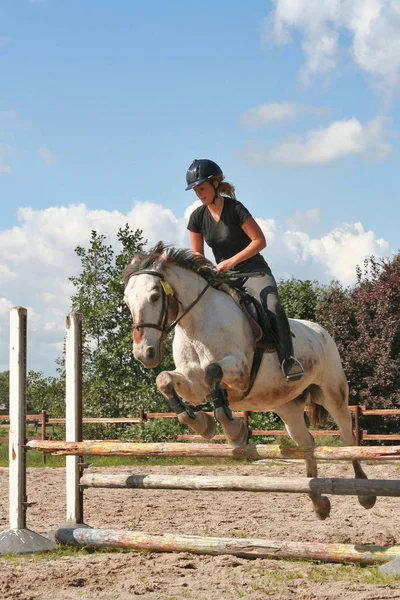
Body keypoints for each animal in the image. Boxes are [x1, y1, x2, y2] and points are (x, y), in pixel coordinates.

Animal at [123, 241, 376, 516]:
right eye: (127, 301)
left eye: (154, 296)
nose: (144, 354)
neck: (196, 325)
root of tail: (321, 331)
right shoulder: (194, 387)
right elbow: (165, 380)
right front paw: (202, 424)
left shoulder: (241, 373)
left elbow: (213, 373)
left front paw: (234, 430)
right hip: (286, 406)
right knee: (305, 442)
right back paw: (319, 503)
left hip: (331, 393)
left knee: (347, 438)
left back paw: (365, 494)